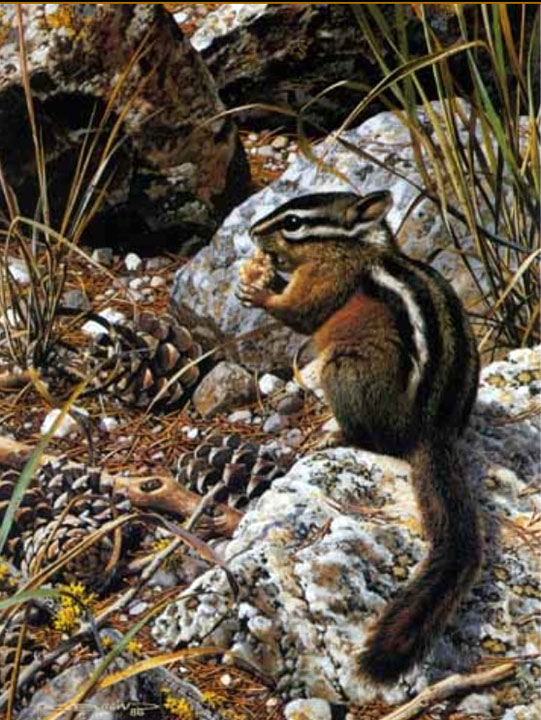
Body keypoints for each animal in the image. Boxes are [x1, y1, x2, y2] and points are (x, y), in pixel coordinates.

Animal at [237, 190, 483, 684]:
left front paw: (258, 291)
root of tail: (432, 431)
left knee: (370, 439)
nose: (252, 231)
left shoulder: (328, 281)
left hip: (344, 367)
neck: (356, 248)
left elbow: (302, 312)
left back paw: (332, 436)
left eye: (293, 223)